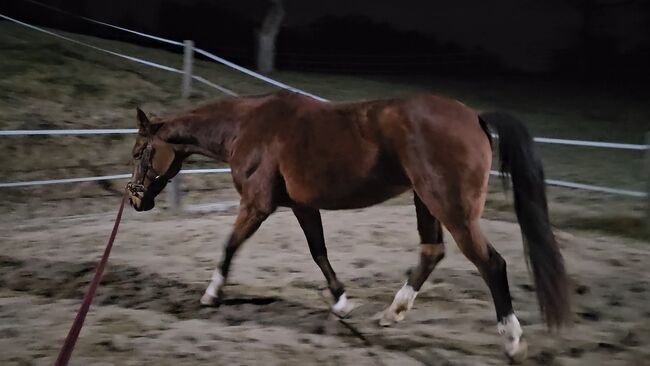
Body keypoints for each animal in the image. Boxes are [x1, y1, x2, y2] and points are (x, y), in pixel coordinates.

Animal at [125, 90, 568, 362]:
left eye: (138, 151)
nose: (135, 200)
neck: (247, 127)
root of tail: (475, 116)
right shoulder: (302, 206)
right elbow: (318, 251)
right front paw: (341, 302)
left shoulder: (257, 204)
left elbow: (230, 245)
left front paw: (211, 294)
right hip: (426, 202)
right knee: (432, 252)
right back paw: (392, 313)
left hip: (452, 208)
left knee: (491, 264)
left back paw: (513, 342)